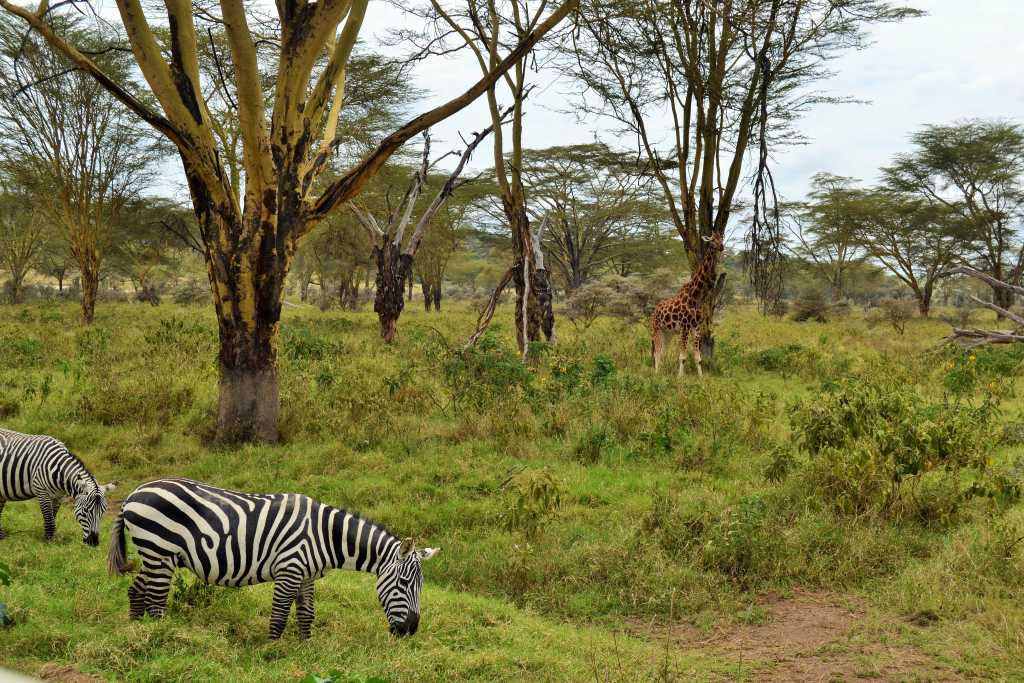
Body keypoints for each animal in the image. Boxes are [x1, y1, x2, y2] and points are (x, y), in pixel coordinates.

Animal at [110, 481, 438, 643]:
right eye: (404, 584)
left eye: (420, 586)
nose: (410, 631)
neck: (325, 535)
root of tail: (134, 493)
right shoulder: (289, 570)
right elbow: (280, 615)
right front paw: (272, 651)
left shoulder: (306, 575)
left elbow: (306, 614)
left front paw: (306, 646)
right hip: (159, 550)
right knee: (156, 600)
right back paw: (161, 636)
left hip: (156, 554)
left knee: (137, 589)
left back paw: (136, 630)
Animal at [651, 232, 724, 376]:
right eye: (712, 240)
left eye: (721, 238)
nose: (721, 247)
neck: (695, 296)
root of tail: (654, 310)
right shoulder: (684, 327)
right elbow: (683, 356)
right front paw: (680, 377)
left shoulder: (696, 327)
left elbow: (698, 357)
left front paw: (701, 377)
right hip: (656, 329)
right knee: (656, 352)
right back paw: (656, 374)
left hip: (668, 333)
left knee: (662, 352)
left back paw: (661, 373)